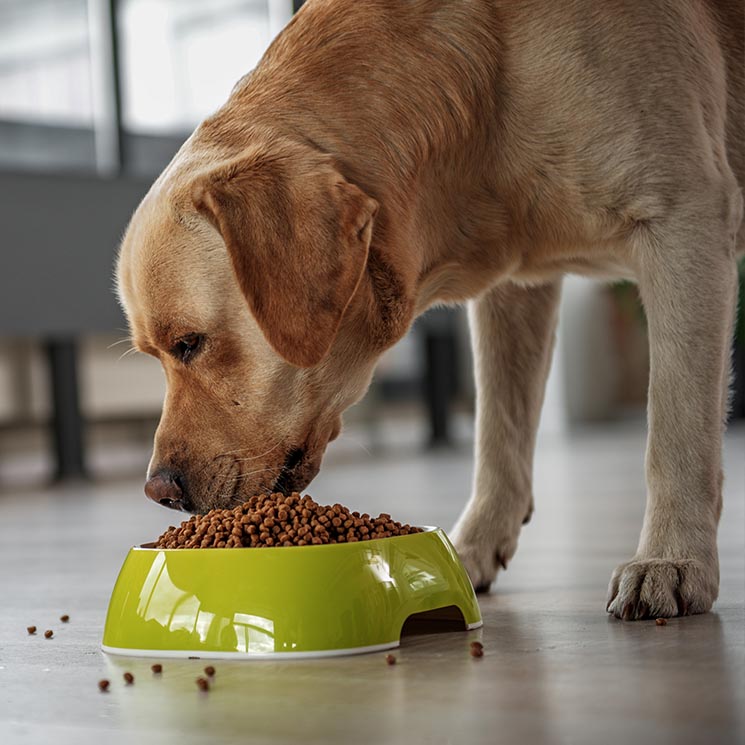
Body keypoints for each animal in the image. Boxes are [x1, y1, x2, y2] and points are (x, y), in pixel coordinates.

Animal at [115, 0, 740, 620]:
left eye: (189, 343)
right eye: (154, 355)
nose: (159, 491)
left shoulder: (685, 221)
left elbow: (676, 428)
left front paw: (672, 559)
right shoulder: (517, 287)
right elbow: (498, 434)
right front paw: (468, 552)